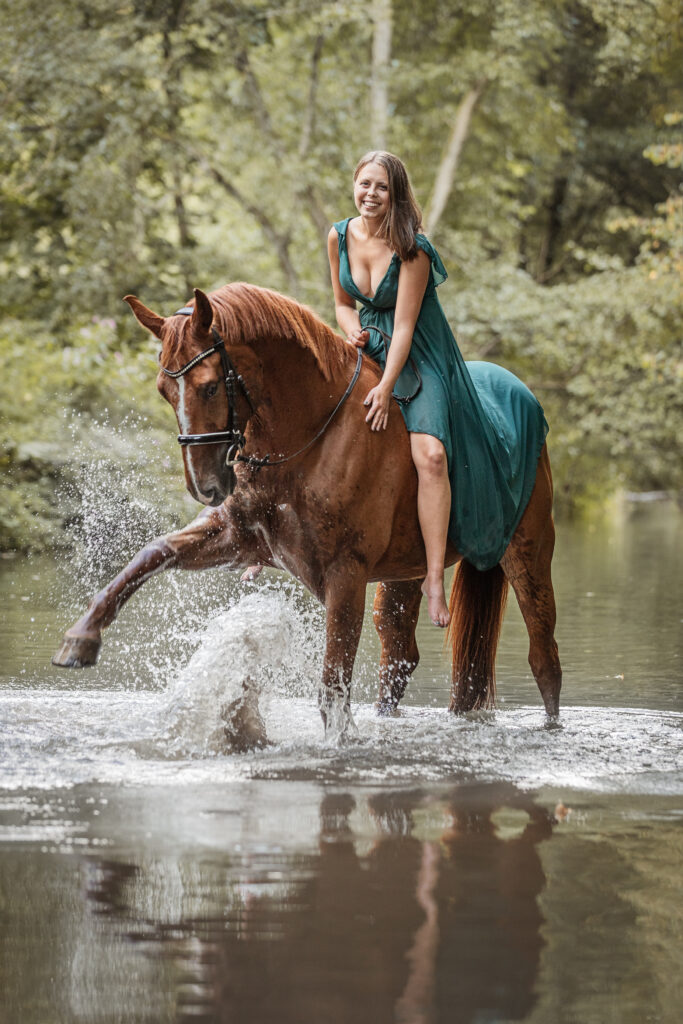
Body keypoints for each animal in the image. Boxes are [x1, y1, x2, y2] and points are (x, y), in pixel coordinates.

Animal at [53, 280, 561, 729]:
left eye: (211, 387)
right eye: (163, 389)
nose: (205, 486)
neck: (309, 437)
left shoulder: (345, 574)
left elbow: (332, 691)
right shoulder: (239, 539)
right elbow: (152, 553)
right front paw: (81, 637)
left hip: (528, 557)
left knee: (545, 662)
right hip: (405, 573)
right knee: (400, 659)